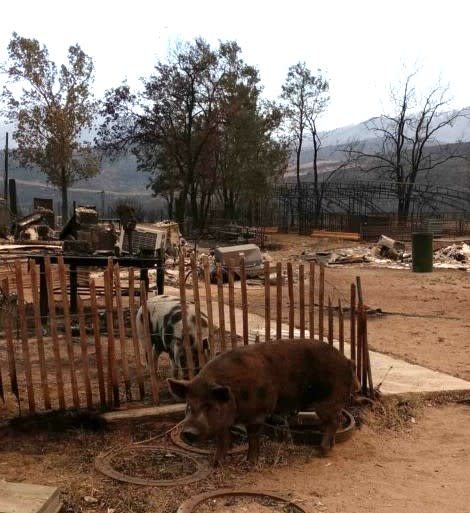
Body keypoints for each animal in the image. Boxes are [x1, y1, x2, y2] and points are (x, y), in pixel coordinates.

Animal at [168, 338, 360, 466]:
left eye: (210, 406)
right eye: (188, 406)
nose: (188, 432)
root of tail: (347, 360)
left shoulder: (257, 413)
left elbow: (252, 438)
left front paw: (250, 464)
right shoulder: (224, 423)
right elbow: (222, 439)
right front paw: (216, 464)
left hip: (329, 400)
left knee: (335, 421)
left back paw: (322, 451)